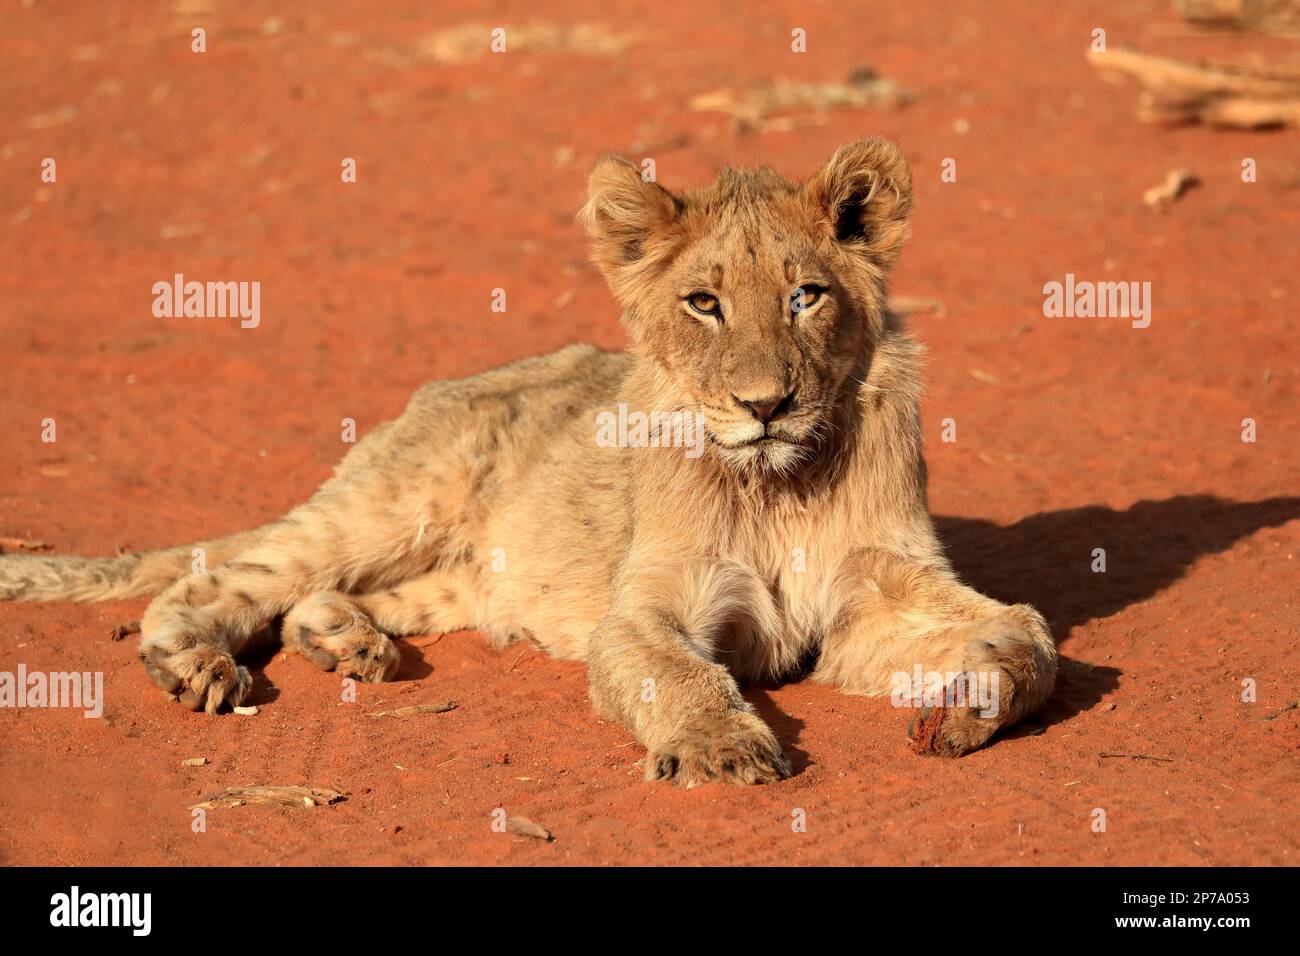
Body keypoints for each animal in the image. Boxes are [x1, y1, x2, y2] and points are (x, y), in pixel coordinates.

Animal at [2, 140, 1055, 785]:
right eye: (704, 303)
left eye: (806, 296)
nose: (765, 406)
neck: (780, 483)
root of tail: (426, 396)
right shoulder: (645, 613)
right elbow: (682, 679)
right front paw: (721, 751)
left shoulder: (871, 603)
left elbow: (1030, 640)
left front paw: (967, 703)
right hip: (392, 504)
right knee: (224, 578)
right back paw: (196, 667)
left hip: (455, 581)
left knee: (317, 598)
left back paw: (346, 644)